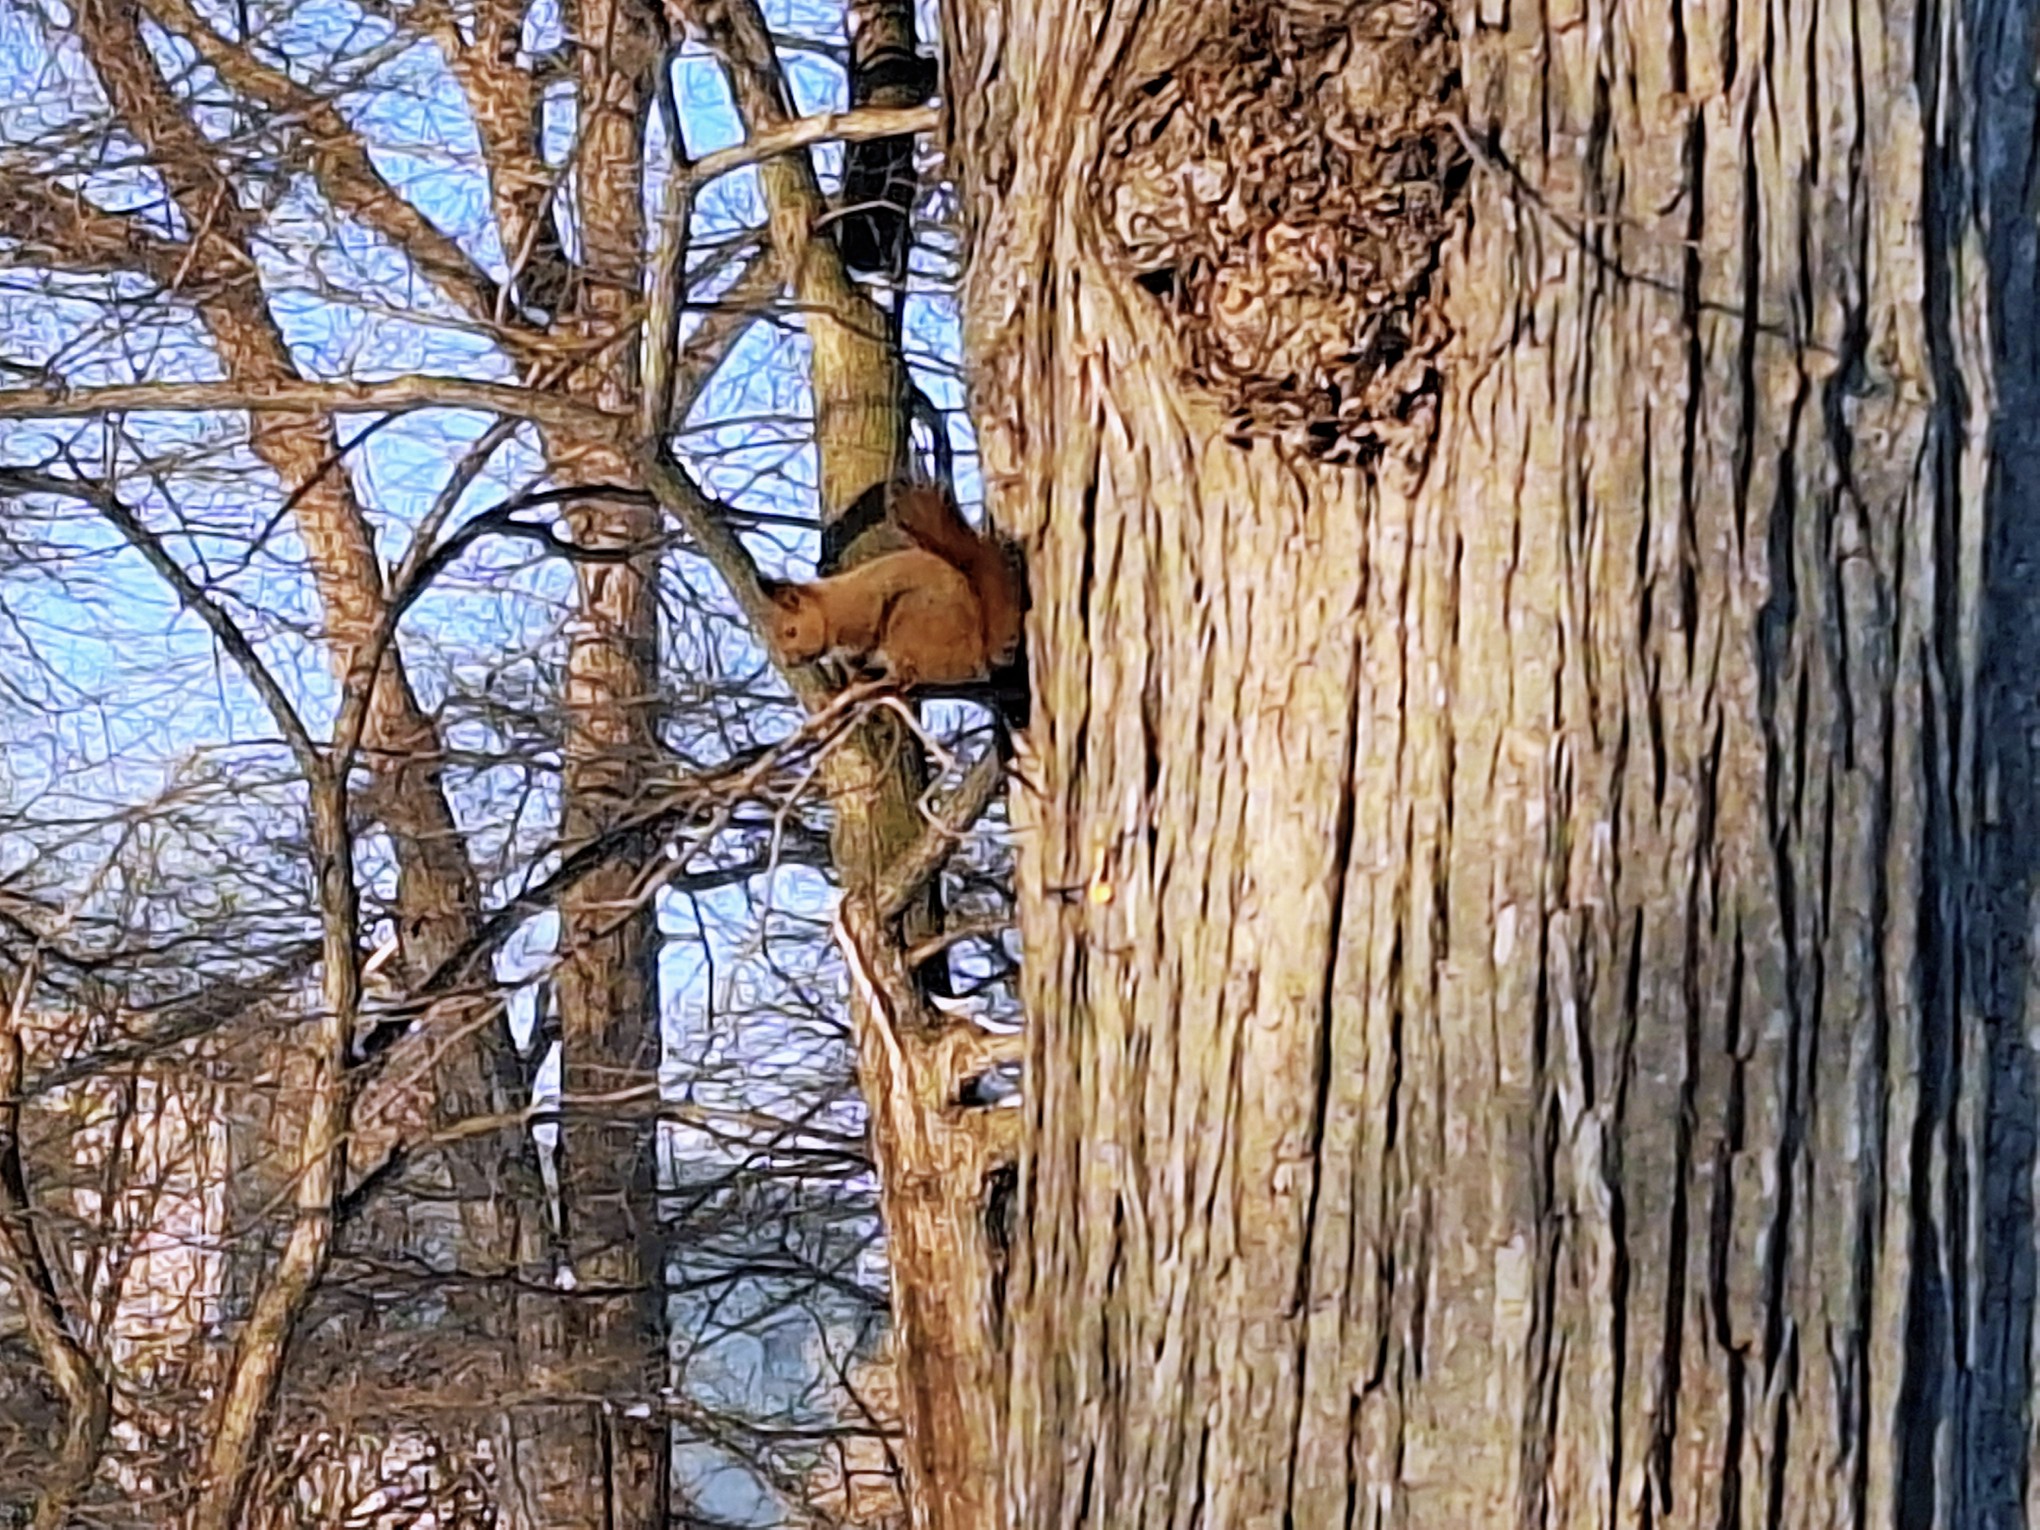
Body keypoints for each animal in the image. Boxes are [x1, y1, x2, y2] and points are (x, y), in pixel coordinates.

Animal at [762, 485, 1028, 689]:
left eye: (791, 632)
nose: (789, 662)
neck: (828, 609)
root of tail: (979, 653)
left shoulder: (860, 615)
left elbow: (863, 642)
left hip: (909, 619)